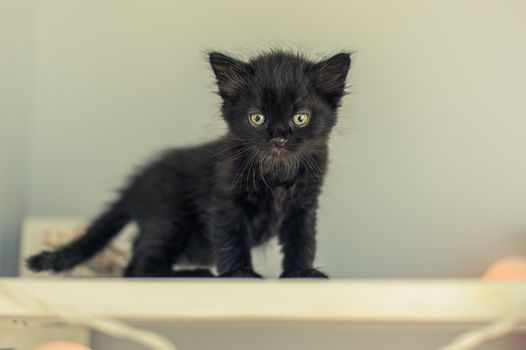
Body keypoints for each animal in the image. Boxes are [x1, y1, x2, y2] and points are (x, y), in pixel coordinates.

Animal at [26, 50, 352, 278]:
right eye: (257, 118)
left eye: (301, 118)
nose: (280, 139)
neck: (276, 174)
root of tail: (139, 181)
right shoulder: (224, 198)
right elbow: (231, 236)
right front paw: (239, 273)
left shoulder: (304, 202)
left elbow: (302, 239)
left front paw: (301, 273)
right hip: (170, 216)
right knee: (141, 265)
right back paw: (195, 273)